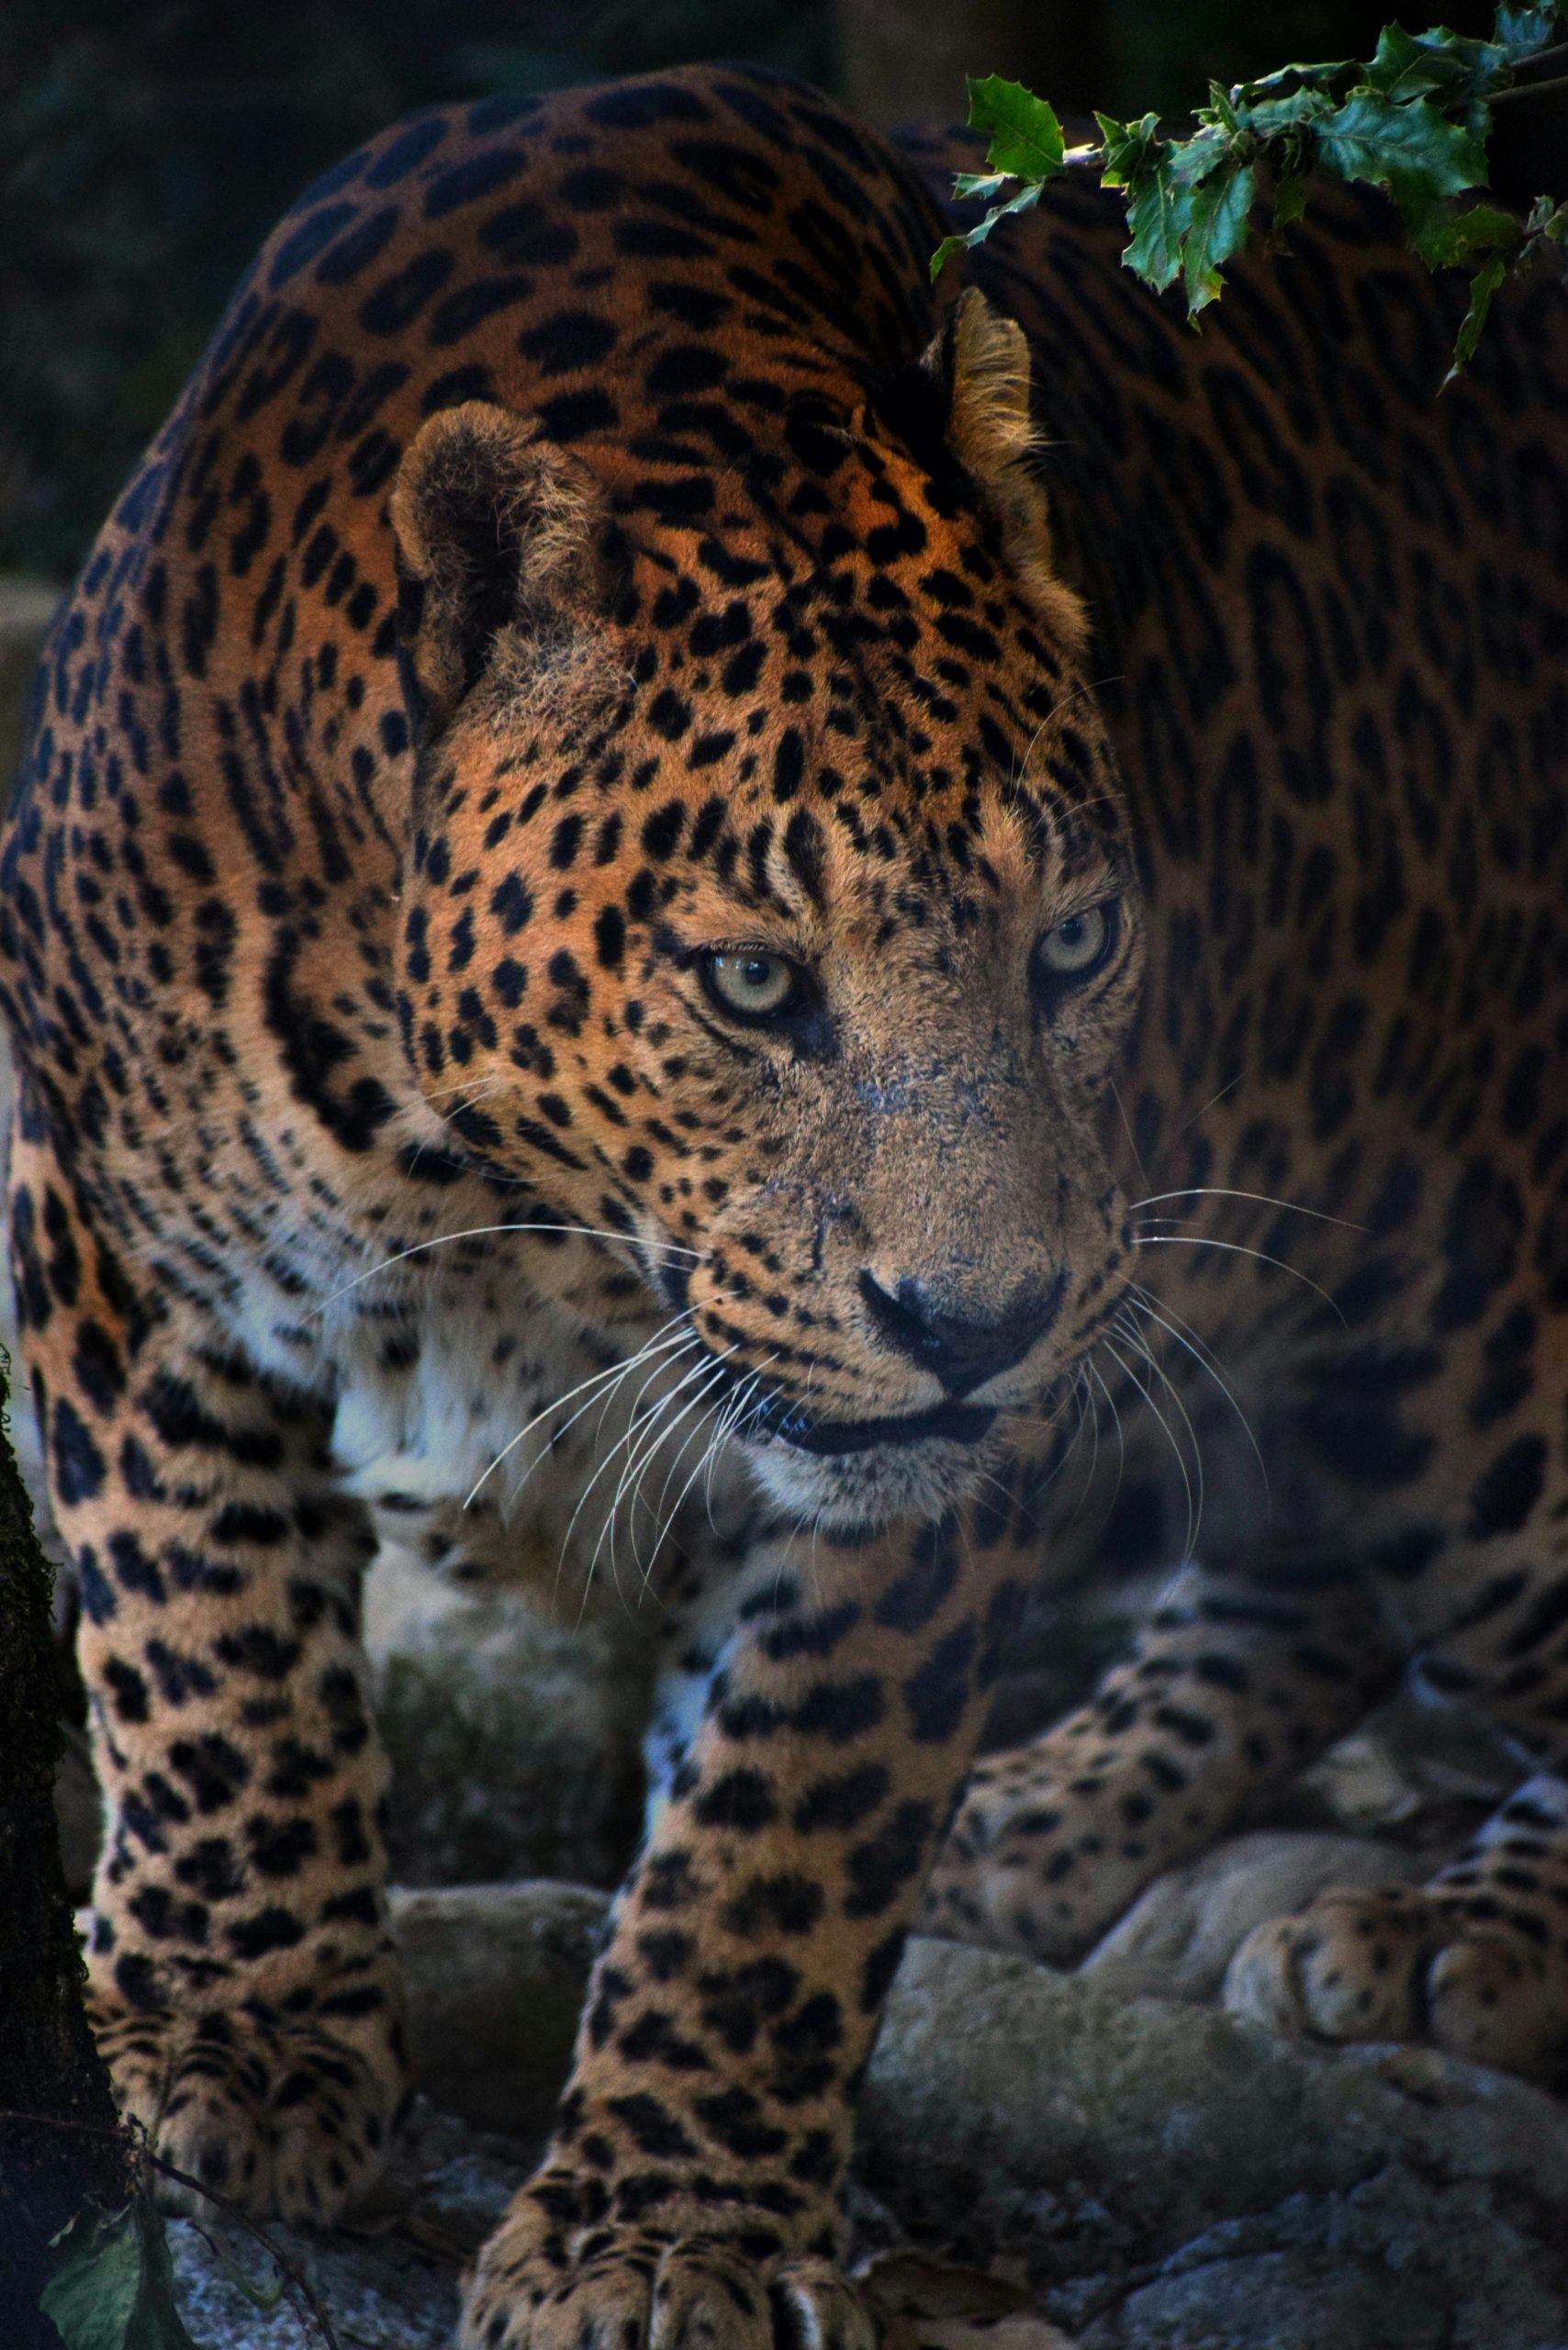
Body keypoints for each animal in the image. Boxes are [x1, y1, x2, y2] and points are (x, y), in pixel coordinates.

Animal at [3, 54, 1567, 2350]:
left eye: (1073, 949)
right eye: (751, 982)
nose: (984, 1325)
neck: (501, 1197)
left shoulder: (918, 1481)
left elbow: (775, 1834)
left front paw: (657, 2230)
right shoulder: (109, 1212)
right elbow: (197, 1636)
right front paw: (237, 2022)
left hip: (1465, 1346)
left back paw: (1459, 1926)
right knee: (1290, 1574)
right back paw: (1040, 1817)